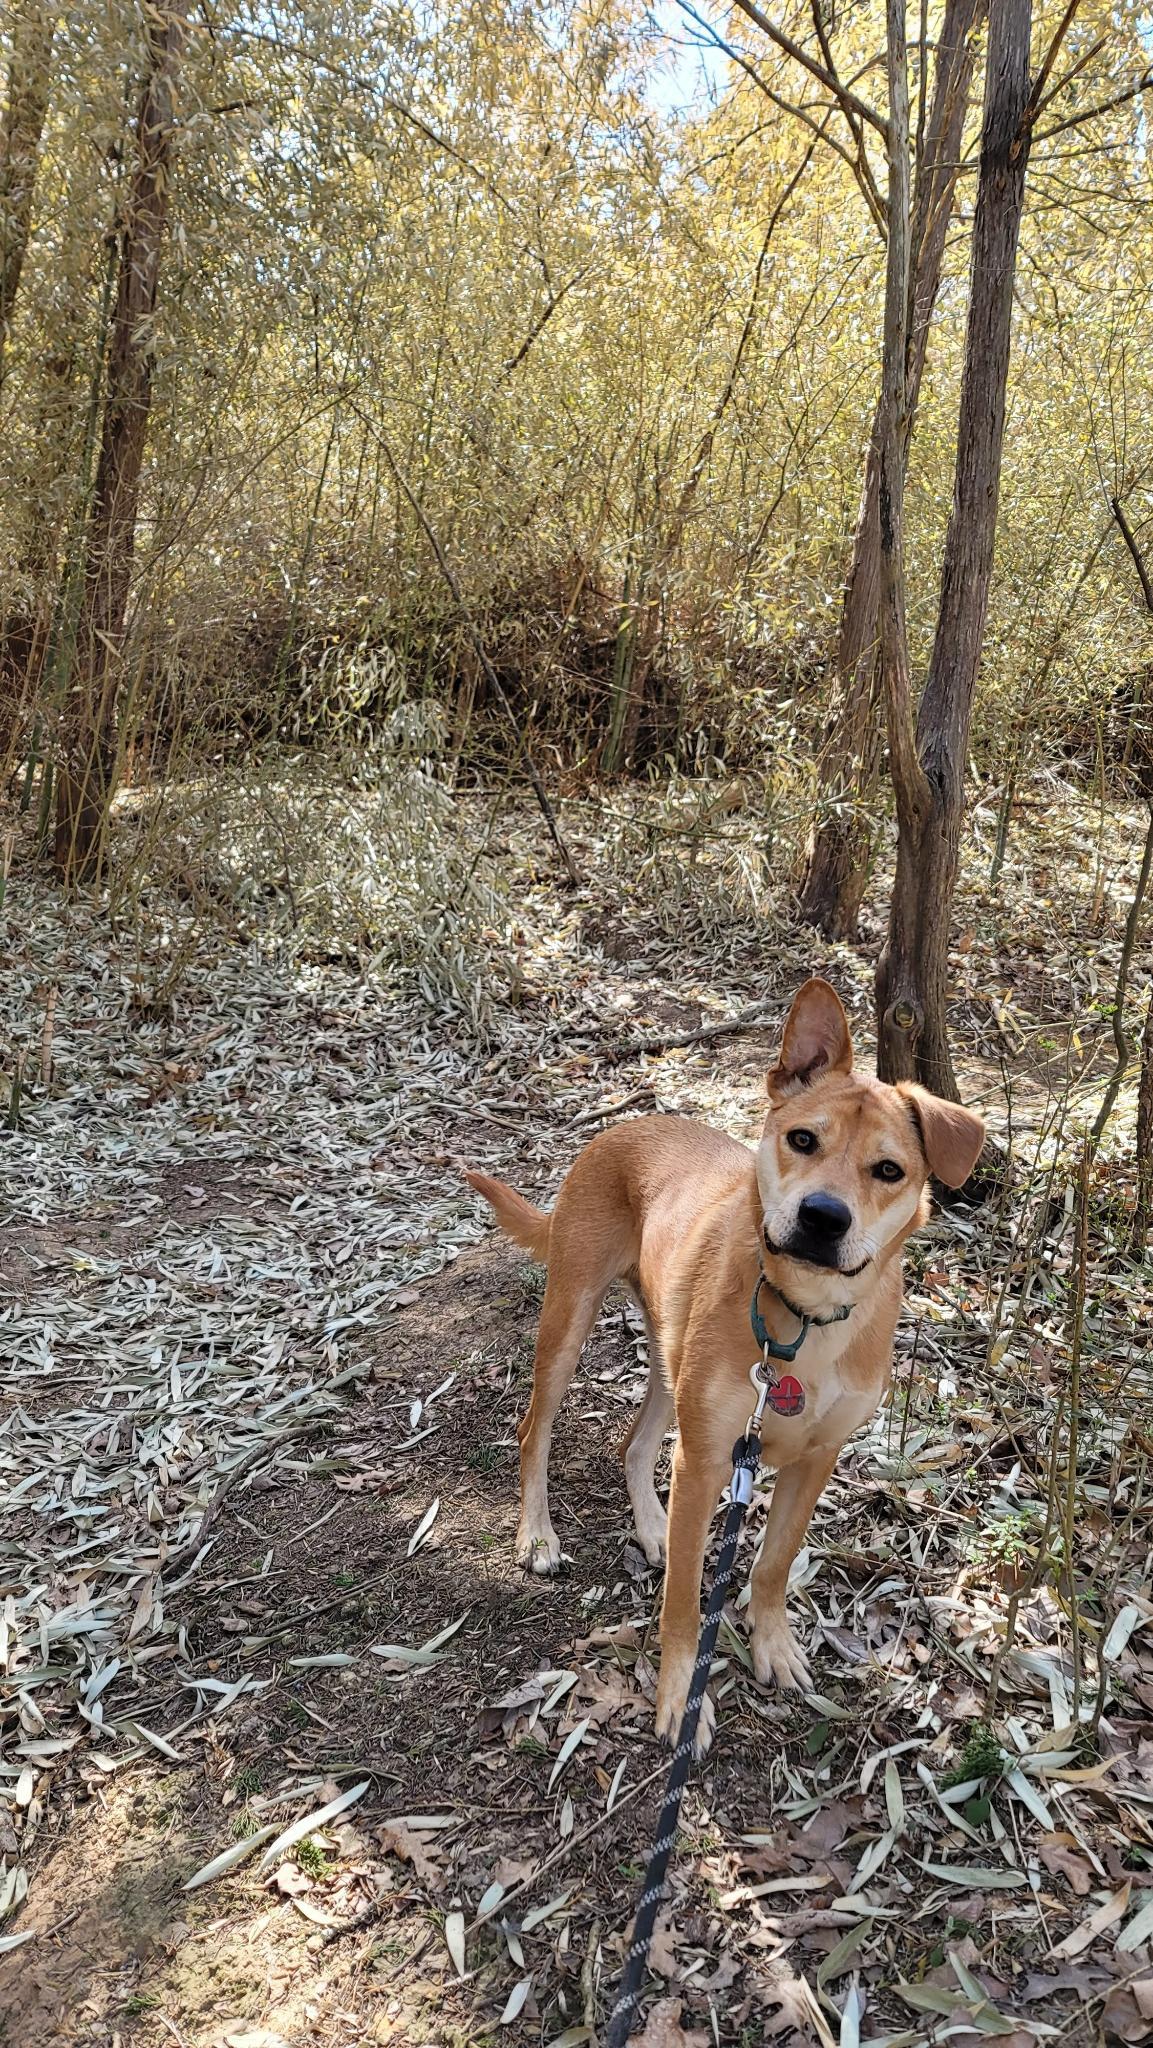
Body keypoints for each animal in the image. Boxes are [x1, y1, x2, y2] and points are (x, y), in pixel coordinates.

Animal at [464, 974, 987, 1744]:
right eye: (802, 1139)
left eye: (888, 1170)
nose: (823, 1216)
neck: (805, 1318)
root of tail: (629, 1123)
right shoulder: (709, 1457)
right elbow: (685, 1597)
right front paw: (681, 1695)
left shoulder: (815, 1458)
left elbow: (773, 1564)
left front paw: (772, 1643)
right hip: (570, 1320)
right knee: (536, 1431)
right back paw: (539, 1535)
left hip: (669, 1352)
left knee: (635, 1441)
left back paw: (652, 1526)